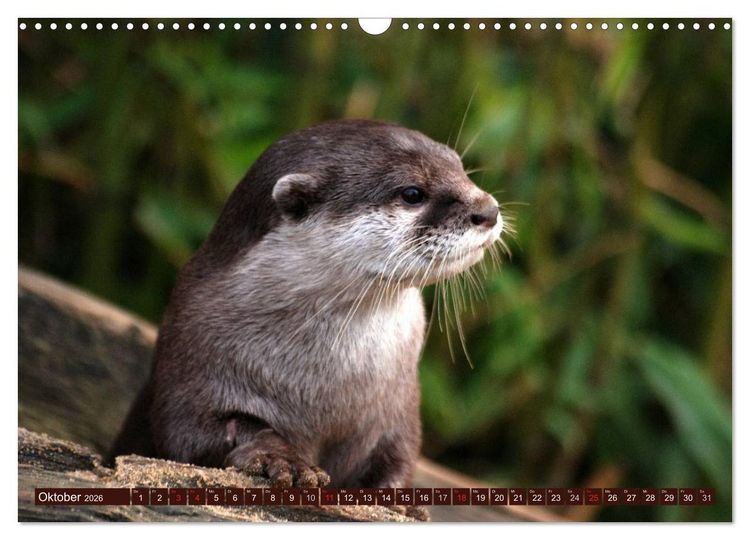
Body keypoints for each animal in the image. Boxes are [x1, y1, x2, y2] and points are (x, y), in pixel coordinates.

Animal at [111, 119, 503, 501]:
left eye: (460, 168)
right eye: (412, 193)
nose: (488, 210)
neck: (325, 389)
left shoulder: (398, 409)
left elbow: (399, 455)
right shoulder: (190, 360)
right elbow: (196, 432)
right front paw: (281, 458)